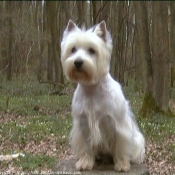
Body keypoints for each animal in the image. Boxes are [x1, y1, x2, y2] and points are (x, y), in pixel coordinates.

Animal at [60, 19, 145, 172]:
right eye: (73, 49)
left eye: (92, 50)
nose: (78, 62)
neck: (91, 89)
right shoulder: (82, 124)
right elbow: (85, 147)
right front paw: (85, 163)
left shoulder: (118, 125)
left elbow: (120, 146)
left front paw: (122, 164)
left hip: (138, 140)